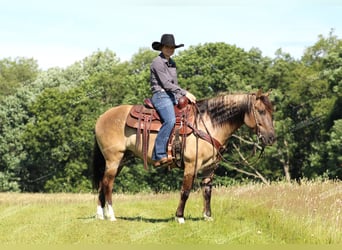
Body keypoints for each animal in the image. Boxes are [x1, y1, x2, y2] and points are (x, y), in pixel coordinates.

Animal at [91, 89, 276, 223]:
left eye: (272, 111)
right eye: (260, 111)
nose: (271, 138)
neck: (207, 124)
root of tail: (101, 117)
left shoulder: (210, 167)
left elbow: (207, 191)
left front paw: (208, 216)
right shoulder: (191, 165)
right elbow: (185, 191)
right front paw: (179, 217)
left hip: (120, 161)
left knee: (102, 183)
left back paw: (100, 215)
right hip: (114, 159)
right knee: (108, 184)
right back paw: (111, 215)